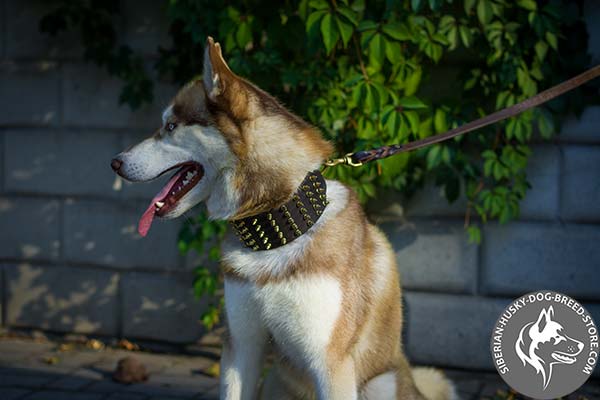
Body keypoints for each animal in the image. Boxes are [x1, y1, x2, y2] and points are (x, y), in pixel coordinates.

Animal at [111, 37, 454, 400]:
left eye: (171, 126)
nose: (114, 163)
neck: (277, 229)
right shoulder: (241, 346)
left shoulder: (329, 361)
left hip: (379, 383)